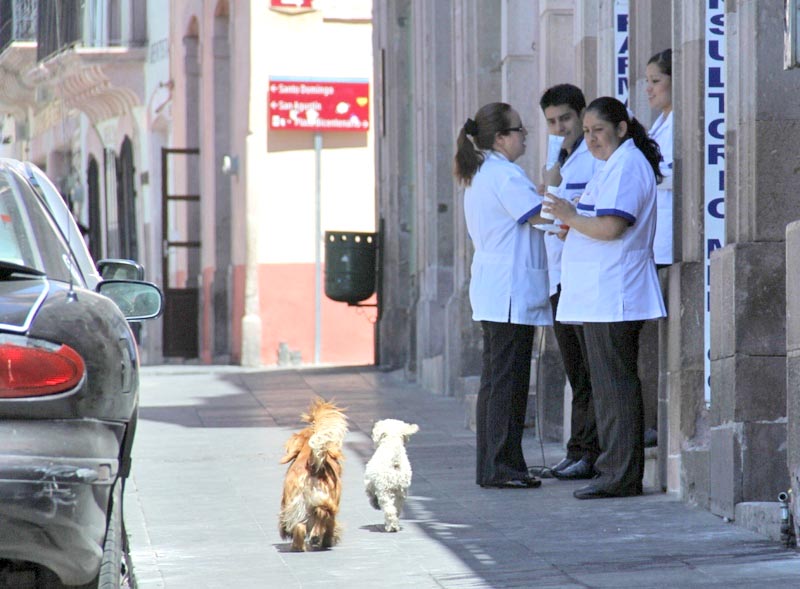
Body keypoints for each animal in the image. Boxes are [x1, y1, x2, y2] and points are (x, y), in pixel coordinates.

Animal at [278, 398, 346, 548]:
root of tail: (313, 467)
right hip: (325, 503)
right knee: (322, 515)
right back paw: (316, 538)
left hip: (294, 505)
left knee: (299, 528)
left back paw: (299, 546)